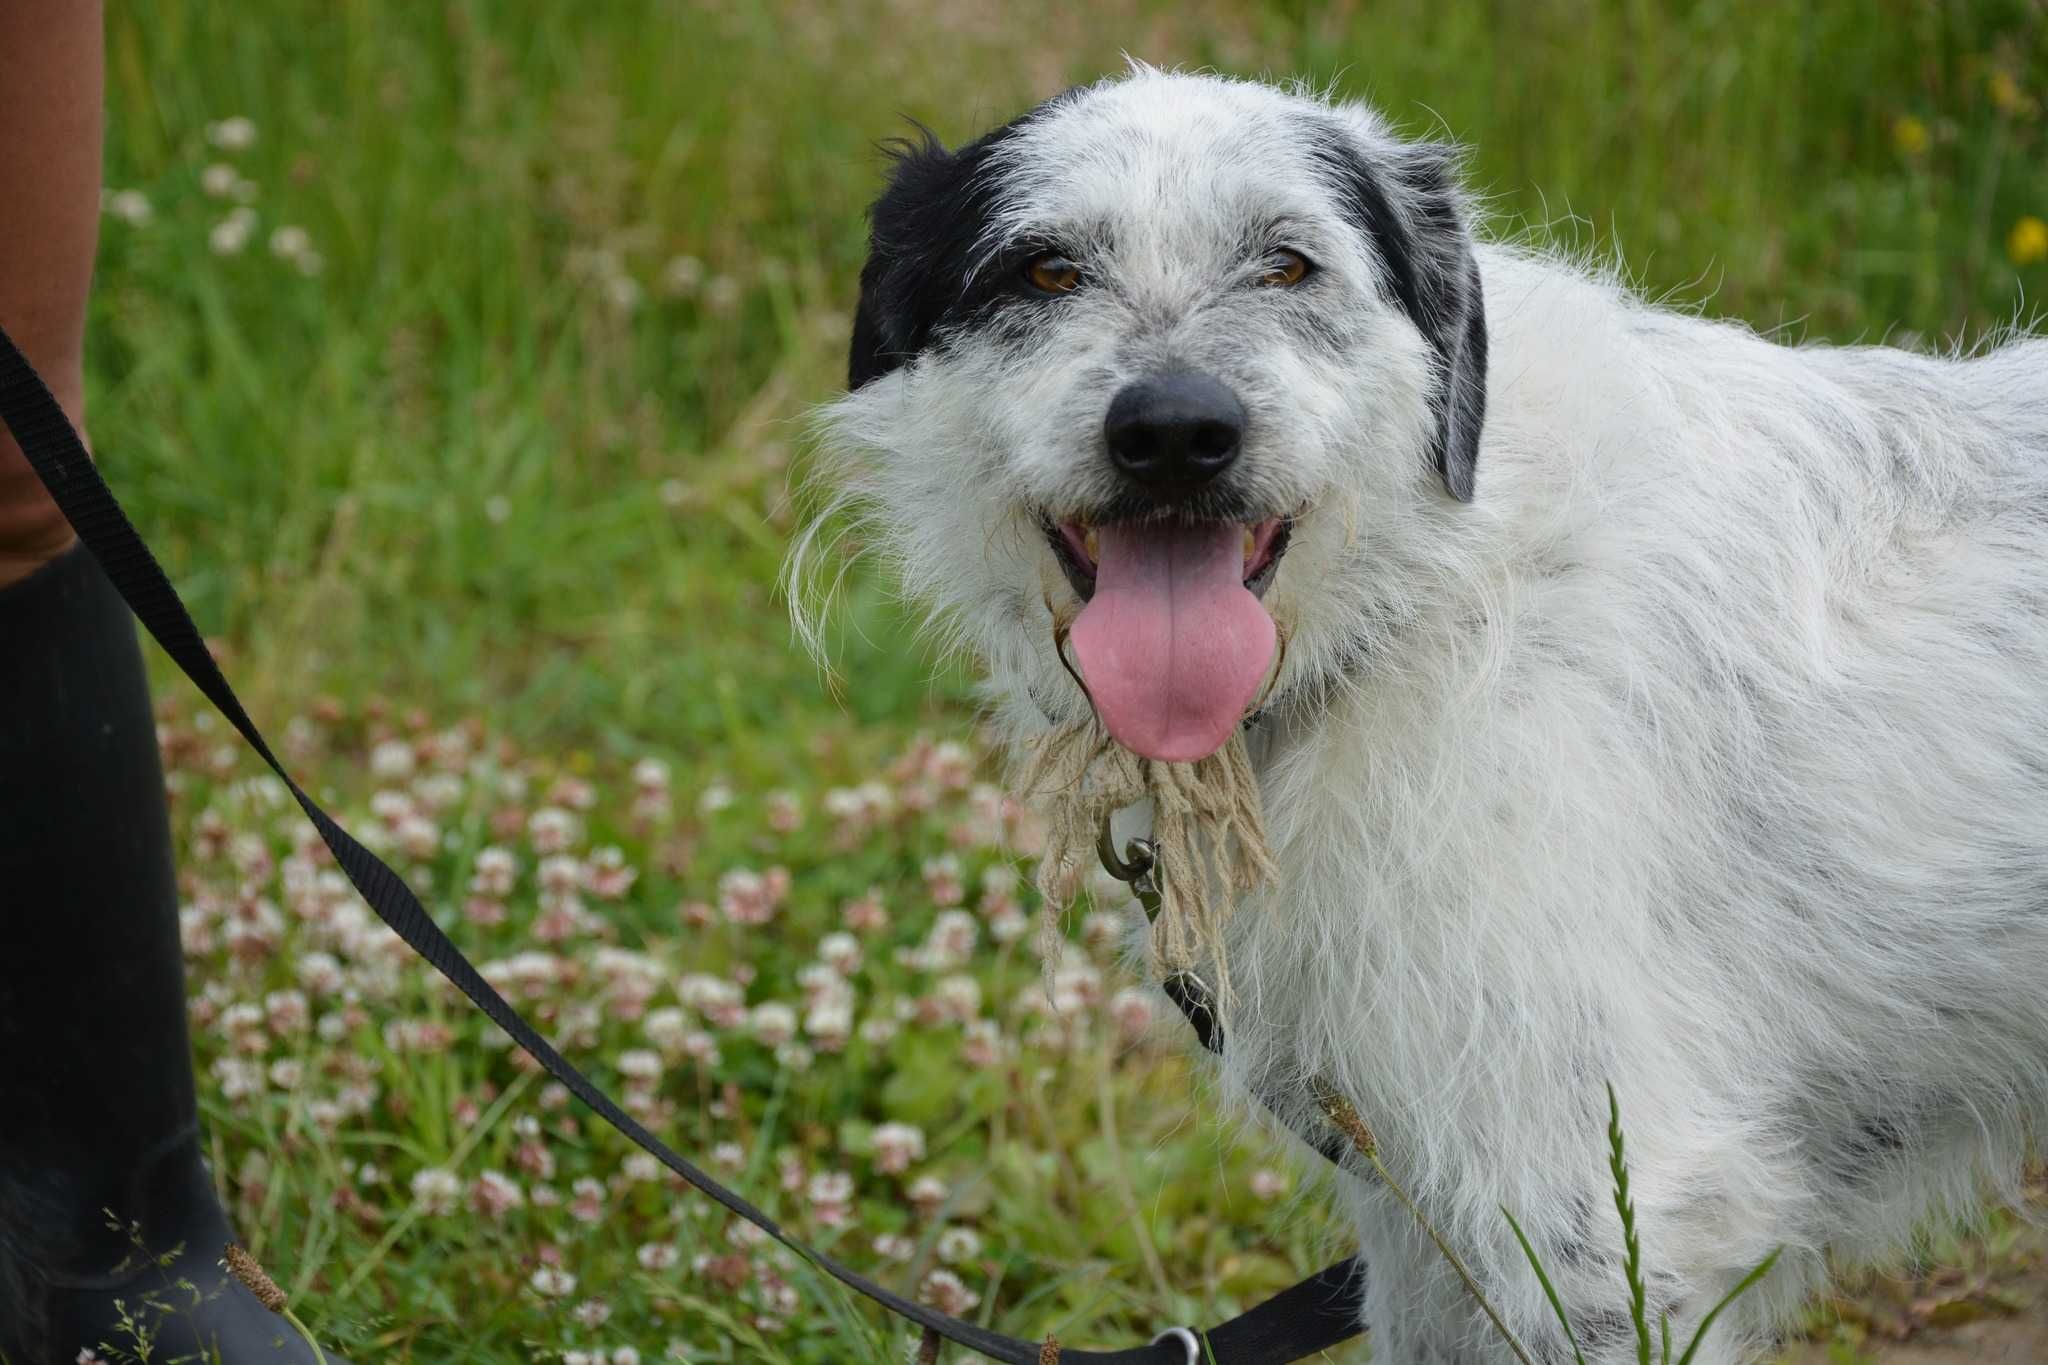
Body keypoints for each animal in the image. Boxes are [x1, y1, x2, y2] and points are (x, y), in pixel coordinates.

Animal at [798, 66, 2048, 1365]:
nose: (1176, 433)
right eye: (1042, 270)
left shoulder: (1600, 1205)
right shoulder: (1421, 1219)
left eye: (1287, 263)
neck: (1426, 583)